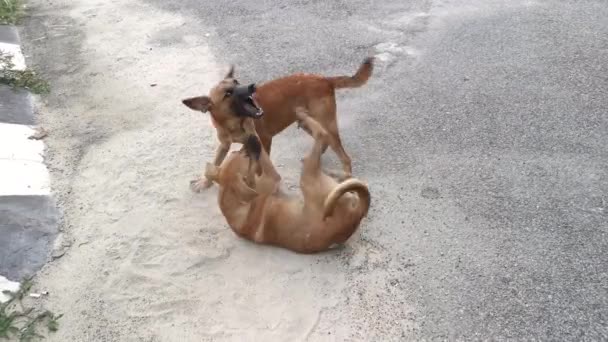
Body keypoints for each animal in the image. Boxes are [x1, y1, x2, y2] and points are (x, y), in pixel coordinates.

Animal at [182, 56, 370, 192]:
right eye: (228, 93)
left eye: (236, 82)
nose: (252, 86)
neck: (233, 123)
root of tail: (324, 79)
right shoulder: (224, 144)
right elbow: (216, 161)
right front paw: (205, 182)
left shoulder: (263, 140)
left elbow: (258, 167)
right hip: (306, 122)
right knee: (322, 140)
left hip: (327, 125)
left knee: (344, 156)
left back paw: (346, 177)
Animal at [205, 109, 370, 254]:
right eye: (245, 157)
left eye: (235, 152)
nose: (247, 141)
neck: (235, 201)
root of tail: (356, 213)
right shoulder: (272, 176)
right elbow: (263, 155)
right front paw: (250, 124)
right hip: (308, 176)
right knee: (321, 136)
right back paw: (303, 117)